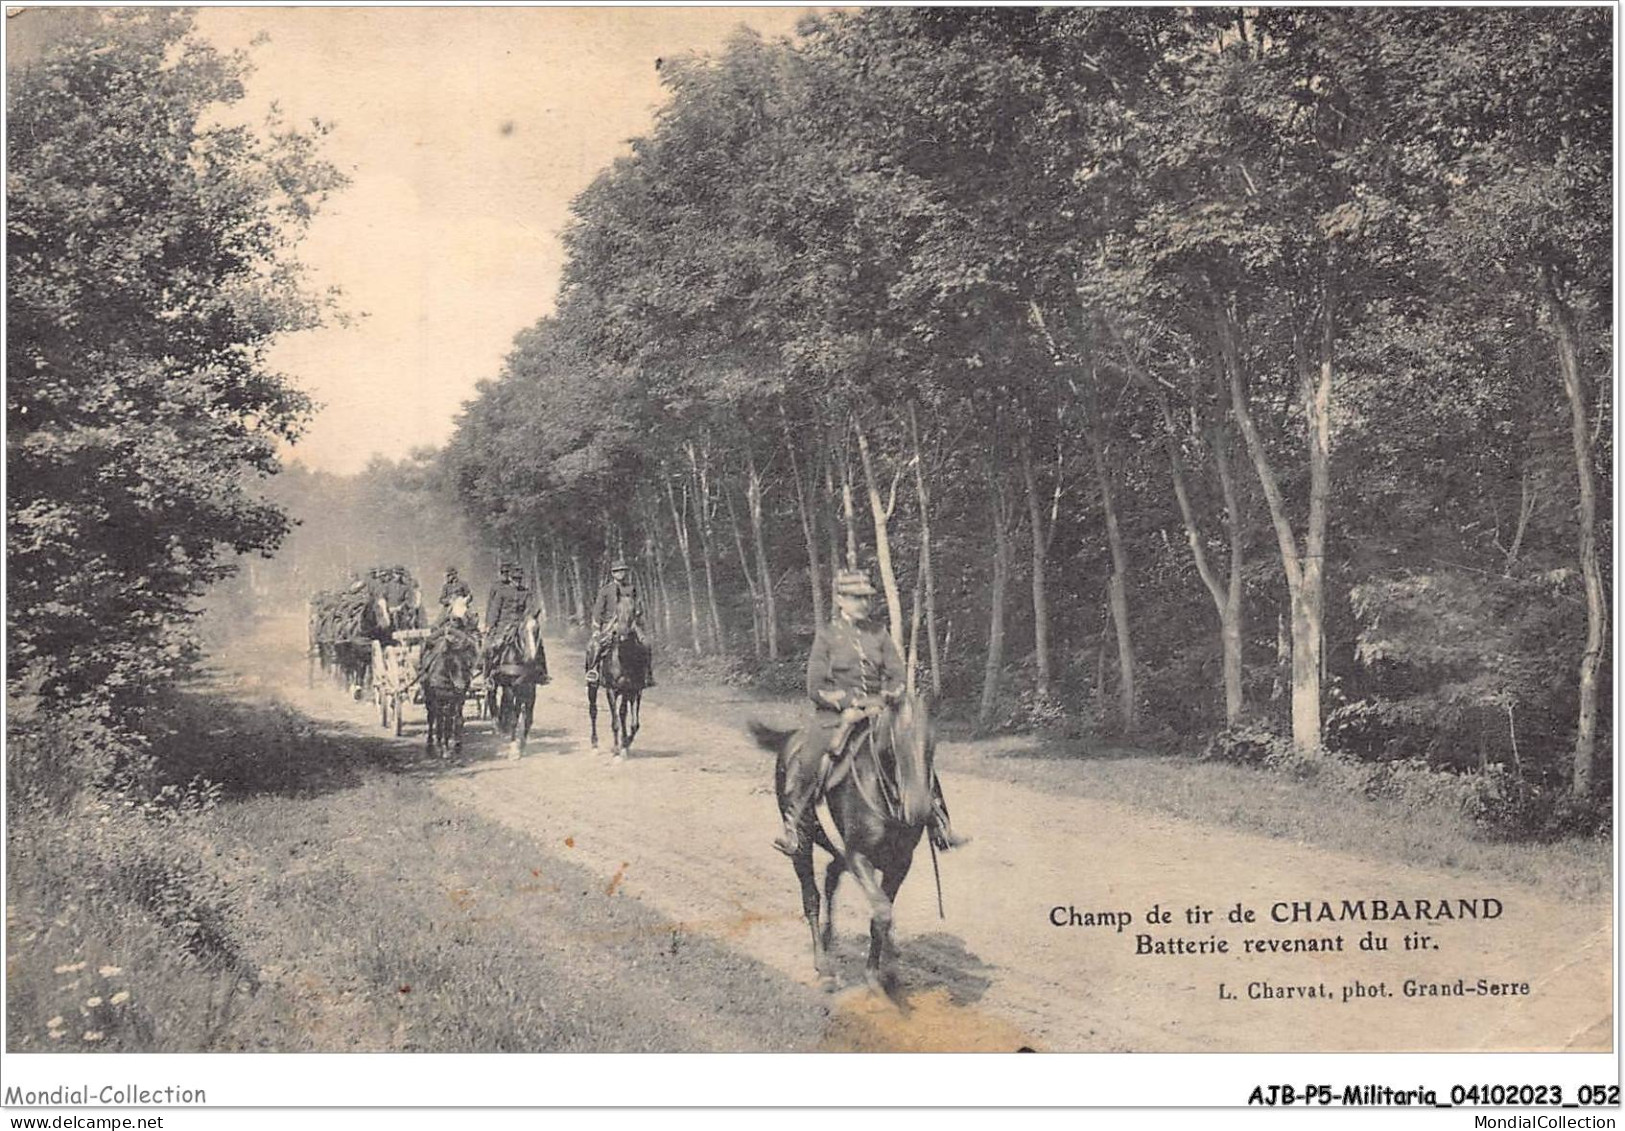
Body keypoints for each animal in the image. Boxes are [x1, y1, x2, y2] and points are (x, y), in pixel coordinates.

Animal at [588, 604, 650, 754]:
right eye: (618, 610)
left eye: (634, 611)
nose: (622, 633)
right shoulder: (611, 690)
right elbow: (617, 719)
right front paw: (618, 747)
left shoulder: (634, 691)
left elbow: (632, 721)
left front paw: (626, 743)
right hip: (593, 687)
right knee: (593, 711)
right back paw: (594, 742)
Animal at [750, 689, 942, 1001]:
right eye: (895, 742)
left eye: (932, 743)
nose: (919, 809)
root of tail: (792, 737)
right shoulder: (860, 856)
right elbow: (882, 911)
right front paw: (884, 971)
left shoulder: (900, 863)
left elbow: (881, 914)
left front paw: (881, 972)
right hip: (803, 840)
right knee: (811, 896)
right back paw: (824, 966)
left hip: (834, 847)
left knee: (831, 874)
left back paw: (830, 940)